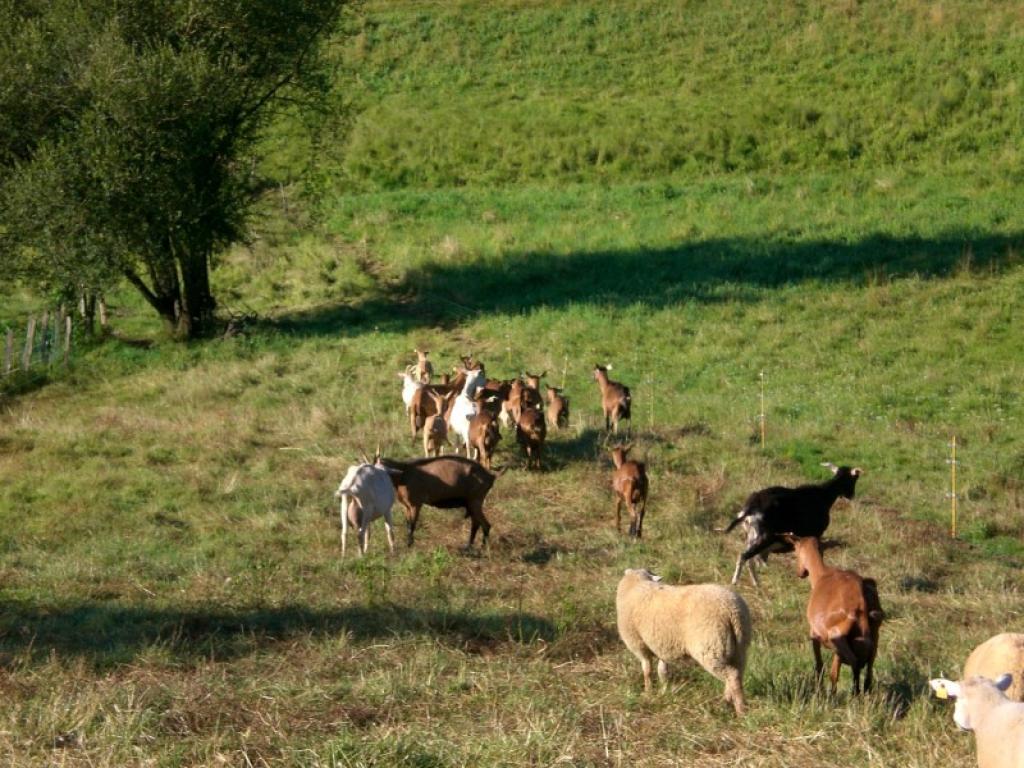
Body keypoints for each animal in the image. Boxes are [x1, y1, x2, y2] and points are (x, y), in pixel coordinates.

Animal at [614, 569, 753, 720]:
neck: (637, 584)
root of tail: (731, 610)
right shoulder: (662, 645)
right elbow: (662, 670)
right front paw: (664, 691)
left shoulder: (638, 644)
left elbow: (647, 670)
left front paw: (648, 692)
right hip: (739, 647)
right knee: (738, 672)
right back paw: (726, 702)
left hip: (710, 648)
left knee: (732, 675)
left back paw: (740, 711)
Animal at [724, 462, 860, 589]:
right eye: (853, 480)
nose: (851, 495)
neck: (824, 495)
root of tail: (751, 507)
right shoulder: (816, 535)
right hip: (764, 537)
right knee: (744, 556)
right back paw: (736, 581)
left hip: (751, 536)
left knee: (750, 559)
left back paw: (756, 583)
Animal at [786, 536, 884, 696]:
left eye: (795, 549)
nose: (800, 573)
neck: (822, 575)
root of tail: (860, 600)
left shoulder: (815, 635)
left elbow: (820, 666)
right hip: (873, 636)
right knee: (869, 665)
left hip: (837, 638)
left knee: (854, 662)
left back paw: (854, 693)